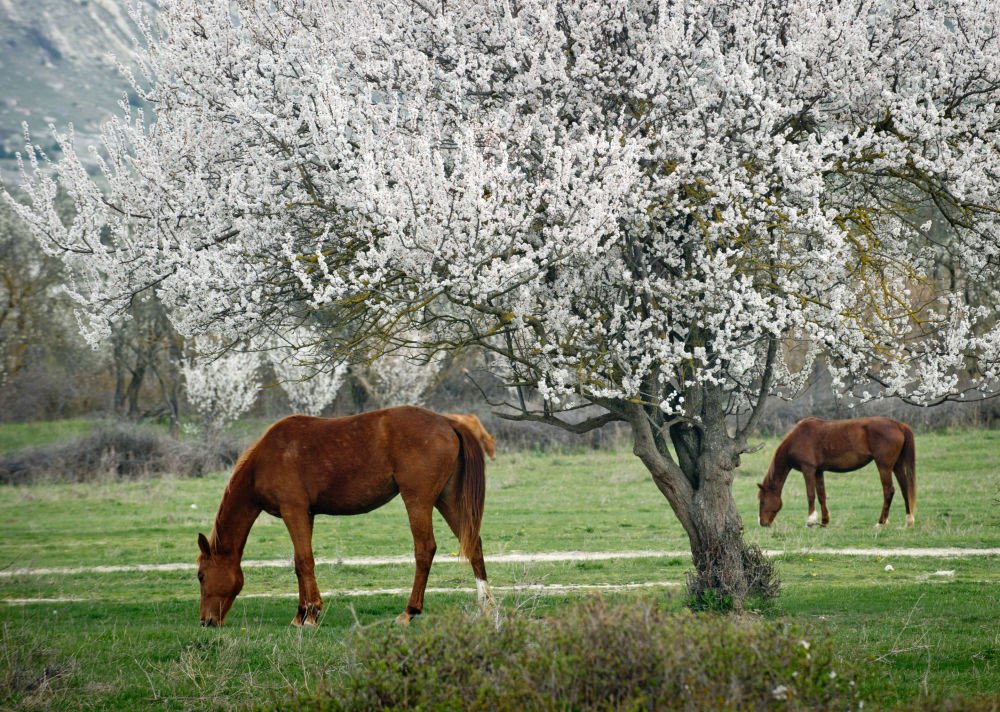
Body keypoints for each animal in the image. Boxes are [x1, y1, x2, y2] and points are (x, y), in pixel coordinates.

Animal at [195, 406, 492, 628]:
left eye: (200, 575)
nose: (206, 621)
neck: (266, 459)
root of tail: (447, 422)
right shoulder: (306, 515)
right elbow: (299, 563)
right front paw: (301, 614)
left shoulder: (294, 511)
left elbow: (304, 562)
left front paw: (311, 614)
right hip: (447, 500)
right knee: (473, 546)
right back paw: (486, 607)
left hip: (418, 501)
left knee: (425, 549)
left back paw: (409, 611)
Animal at [756, 418, 916, 528]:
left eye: (762, 501)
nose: (762, 523)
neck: (798, 438)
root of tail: (898, 425)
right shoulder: (818, 471)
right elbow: (821, 495)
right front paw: (824, 521)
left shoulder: (808, 469)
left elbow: (810, 494)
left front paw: (810, 520)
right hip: (896, 466)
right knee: (905, 489)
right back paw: (908, 521)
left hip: (884, 466)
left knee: (889, 491)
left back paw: (881, 523)